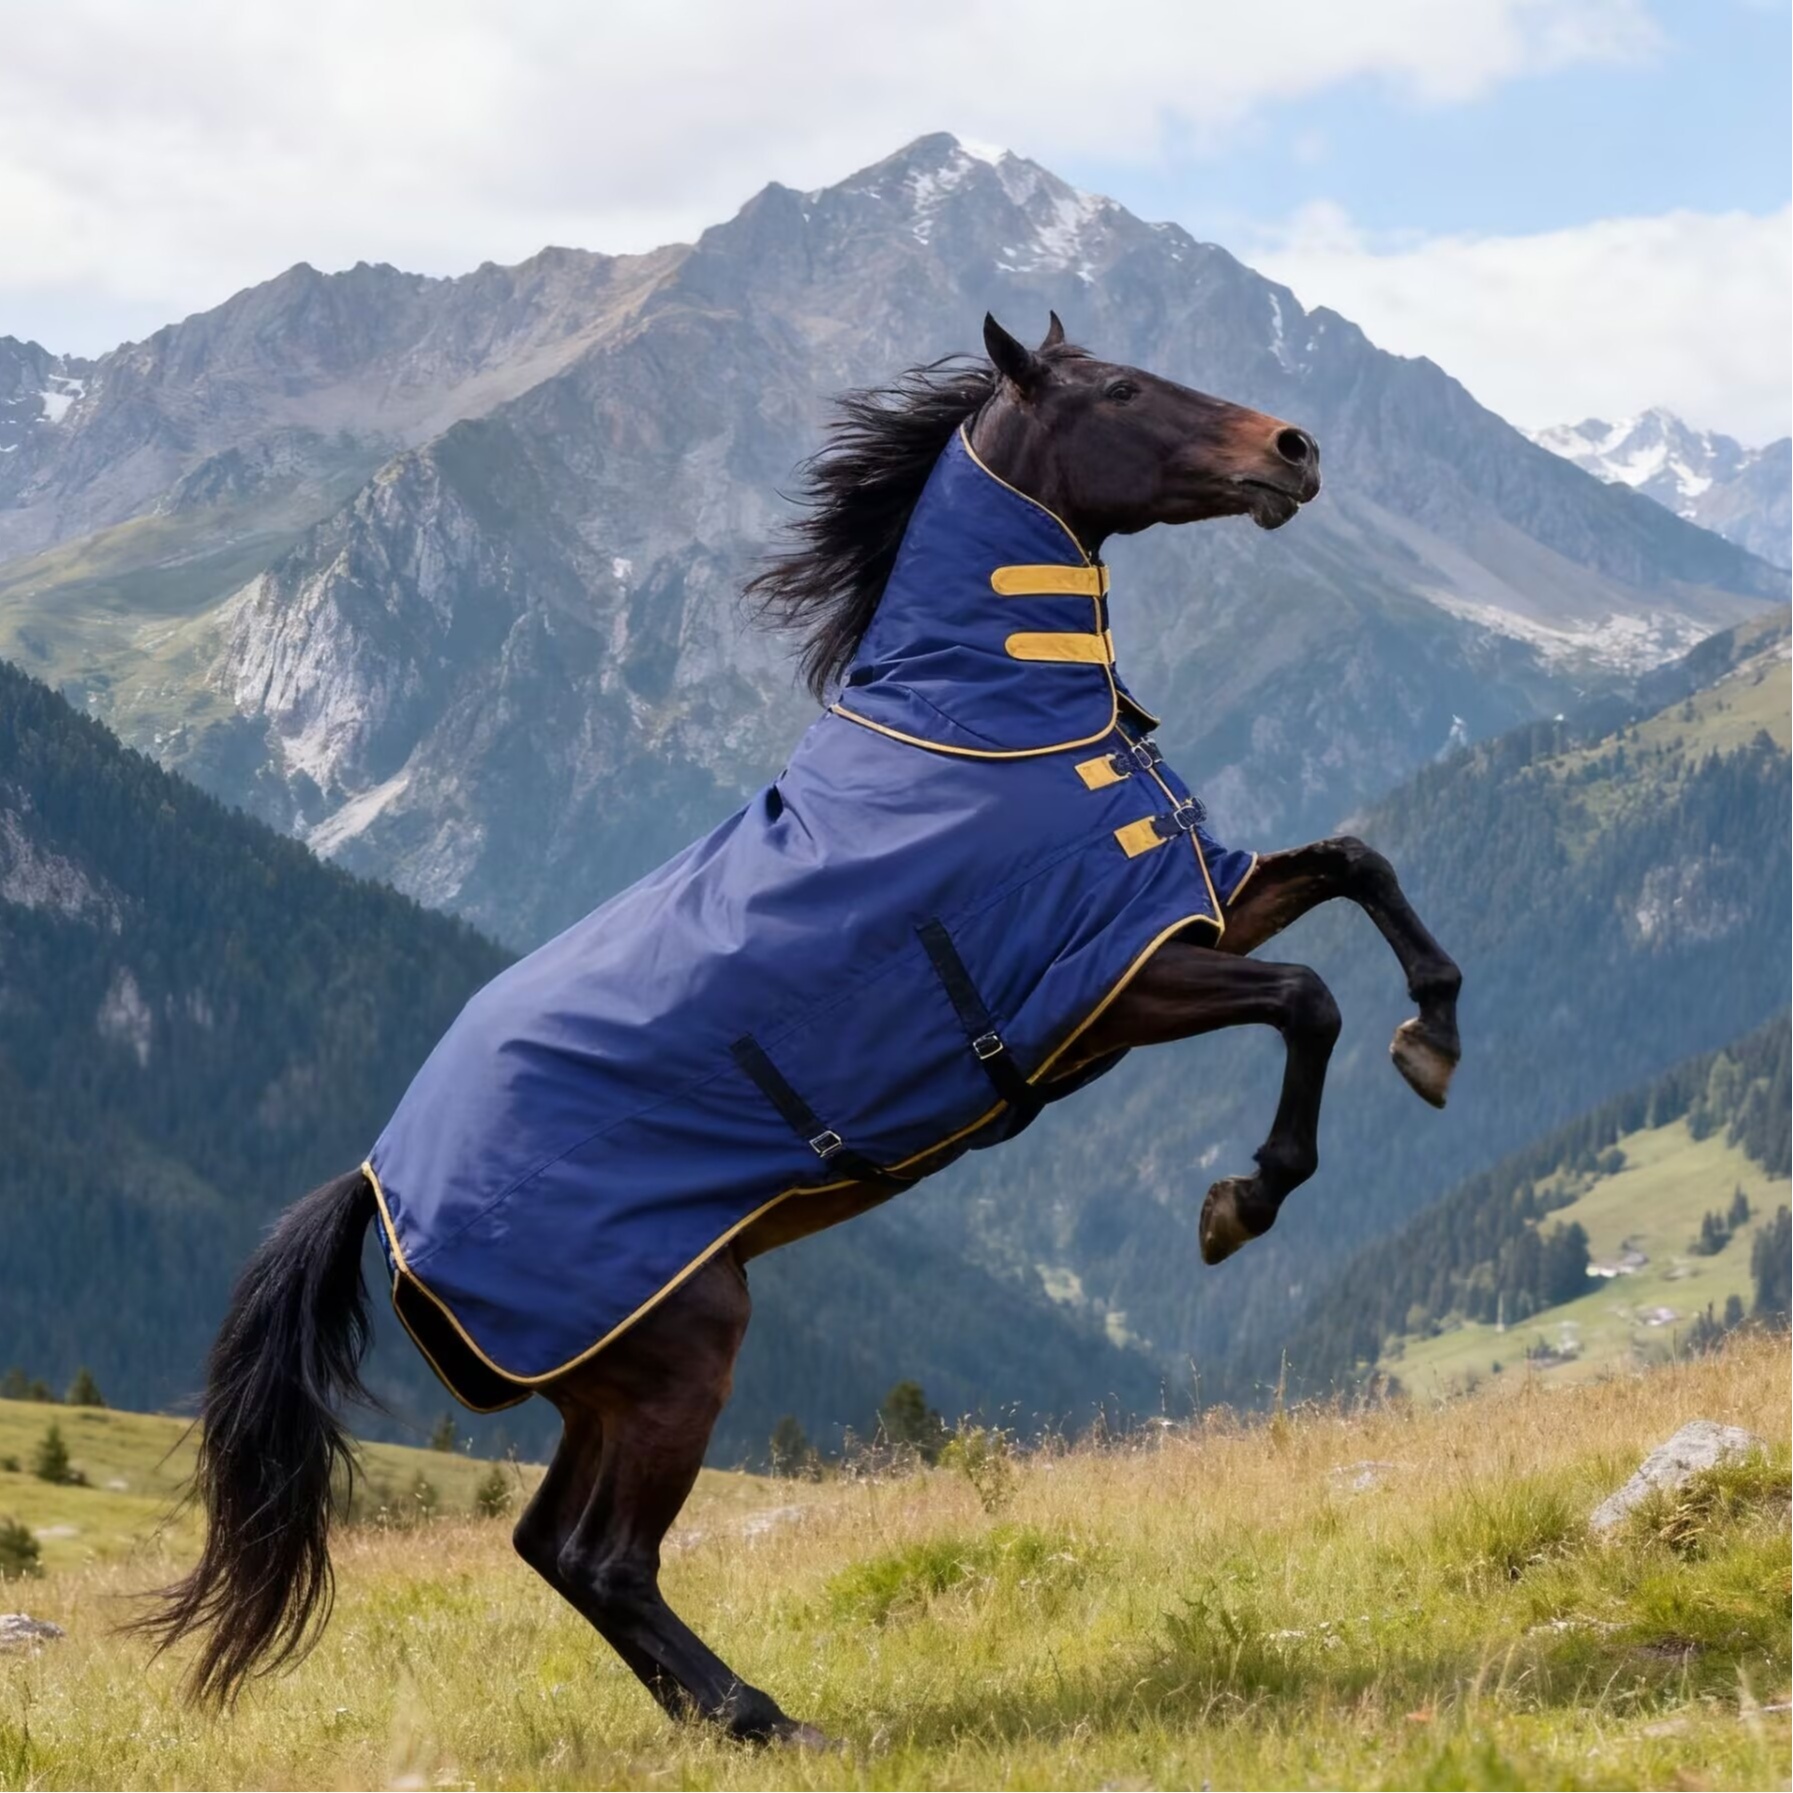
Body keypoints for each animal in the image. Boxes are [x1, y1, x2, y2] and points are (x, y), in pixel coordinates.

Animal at [135, 313, 1462, 1747]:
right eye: (1119, 388)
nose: (1294, 449)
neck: (985, 728)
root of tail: (378, 1181)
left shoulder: (1182, 911)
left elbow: (1357, 864)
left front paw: (1433, 1032)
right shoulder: (1110, 982)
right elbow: (1307, 998)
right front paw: (1244, 1198)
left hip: (610, 1372)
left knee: (552, 1546)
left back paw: (711, 1717)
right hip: (679, 1347)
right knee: (604, 1553)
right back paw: (770, 1721)